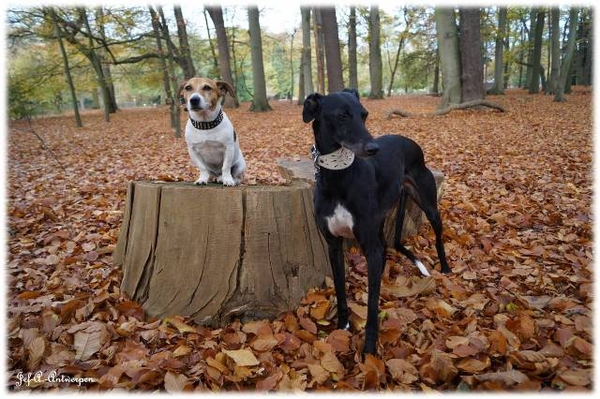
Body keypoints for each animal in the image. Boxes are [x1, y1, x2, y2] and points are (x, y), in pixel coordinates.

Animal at [302, 89, 448, 354]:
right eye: (342, 116)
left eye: (364, 114)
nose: (374, 148)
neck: (339, 178)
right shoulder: (334, 246)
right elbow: (341, 290)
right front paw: (342, 327)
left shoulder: (369, 245)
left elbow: (371, 306)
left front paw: (369, 348)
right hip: (380, 222)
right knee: (384, 253)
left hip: (428, 205)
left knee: (438, 236)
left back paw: (445, 268)